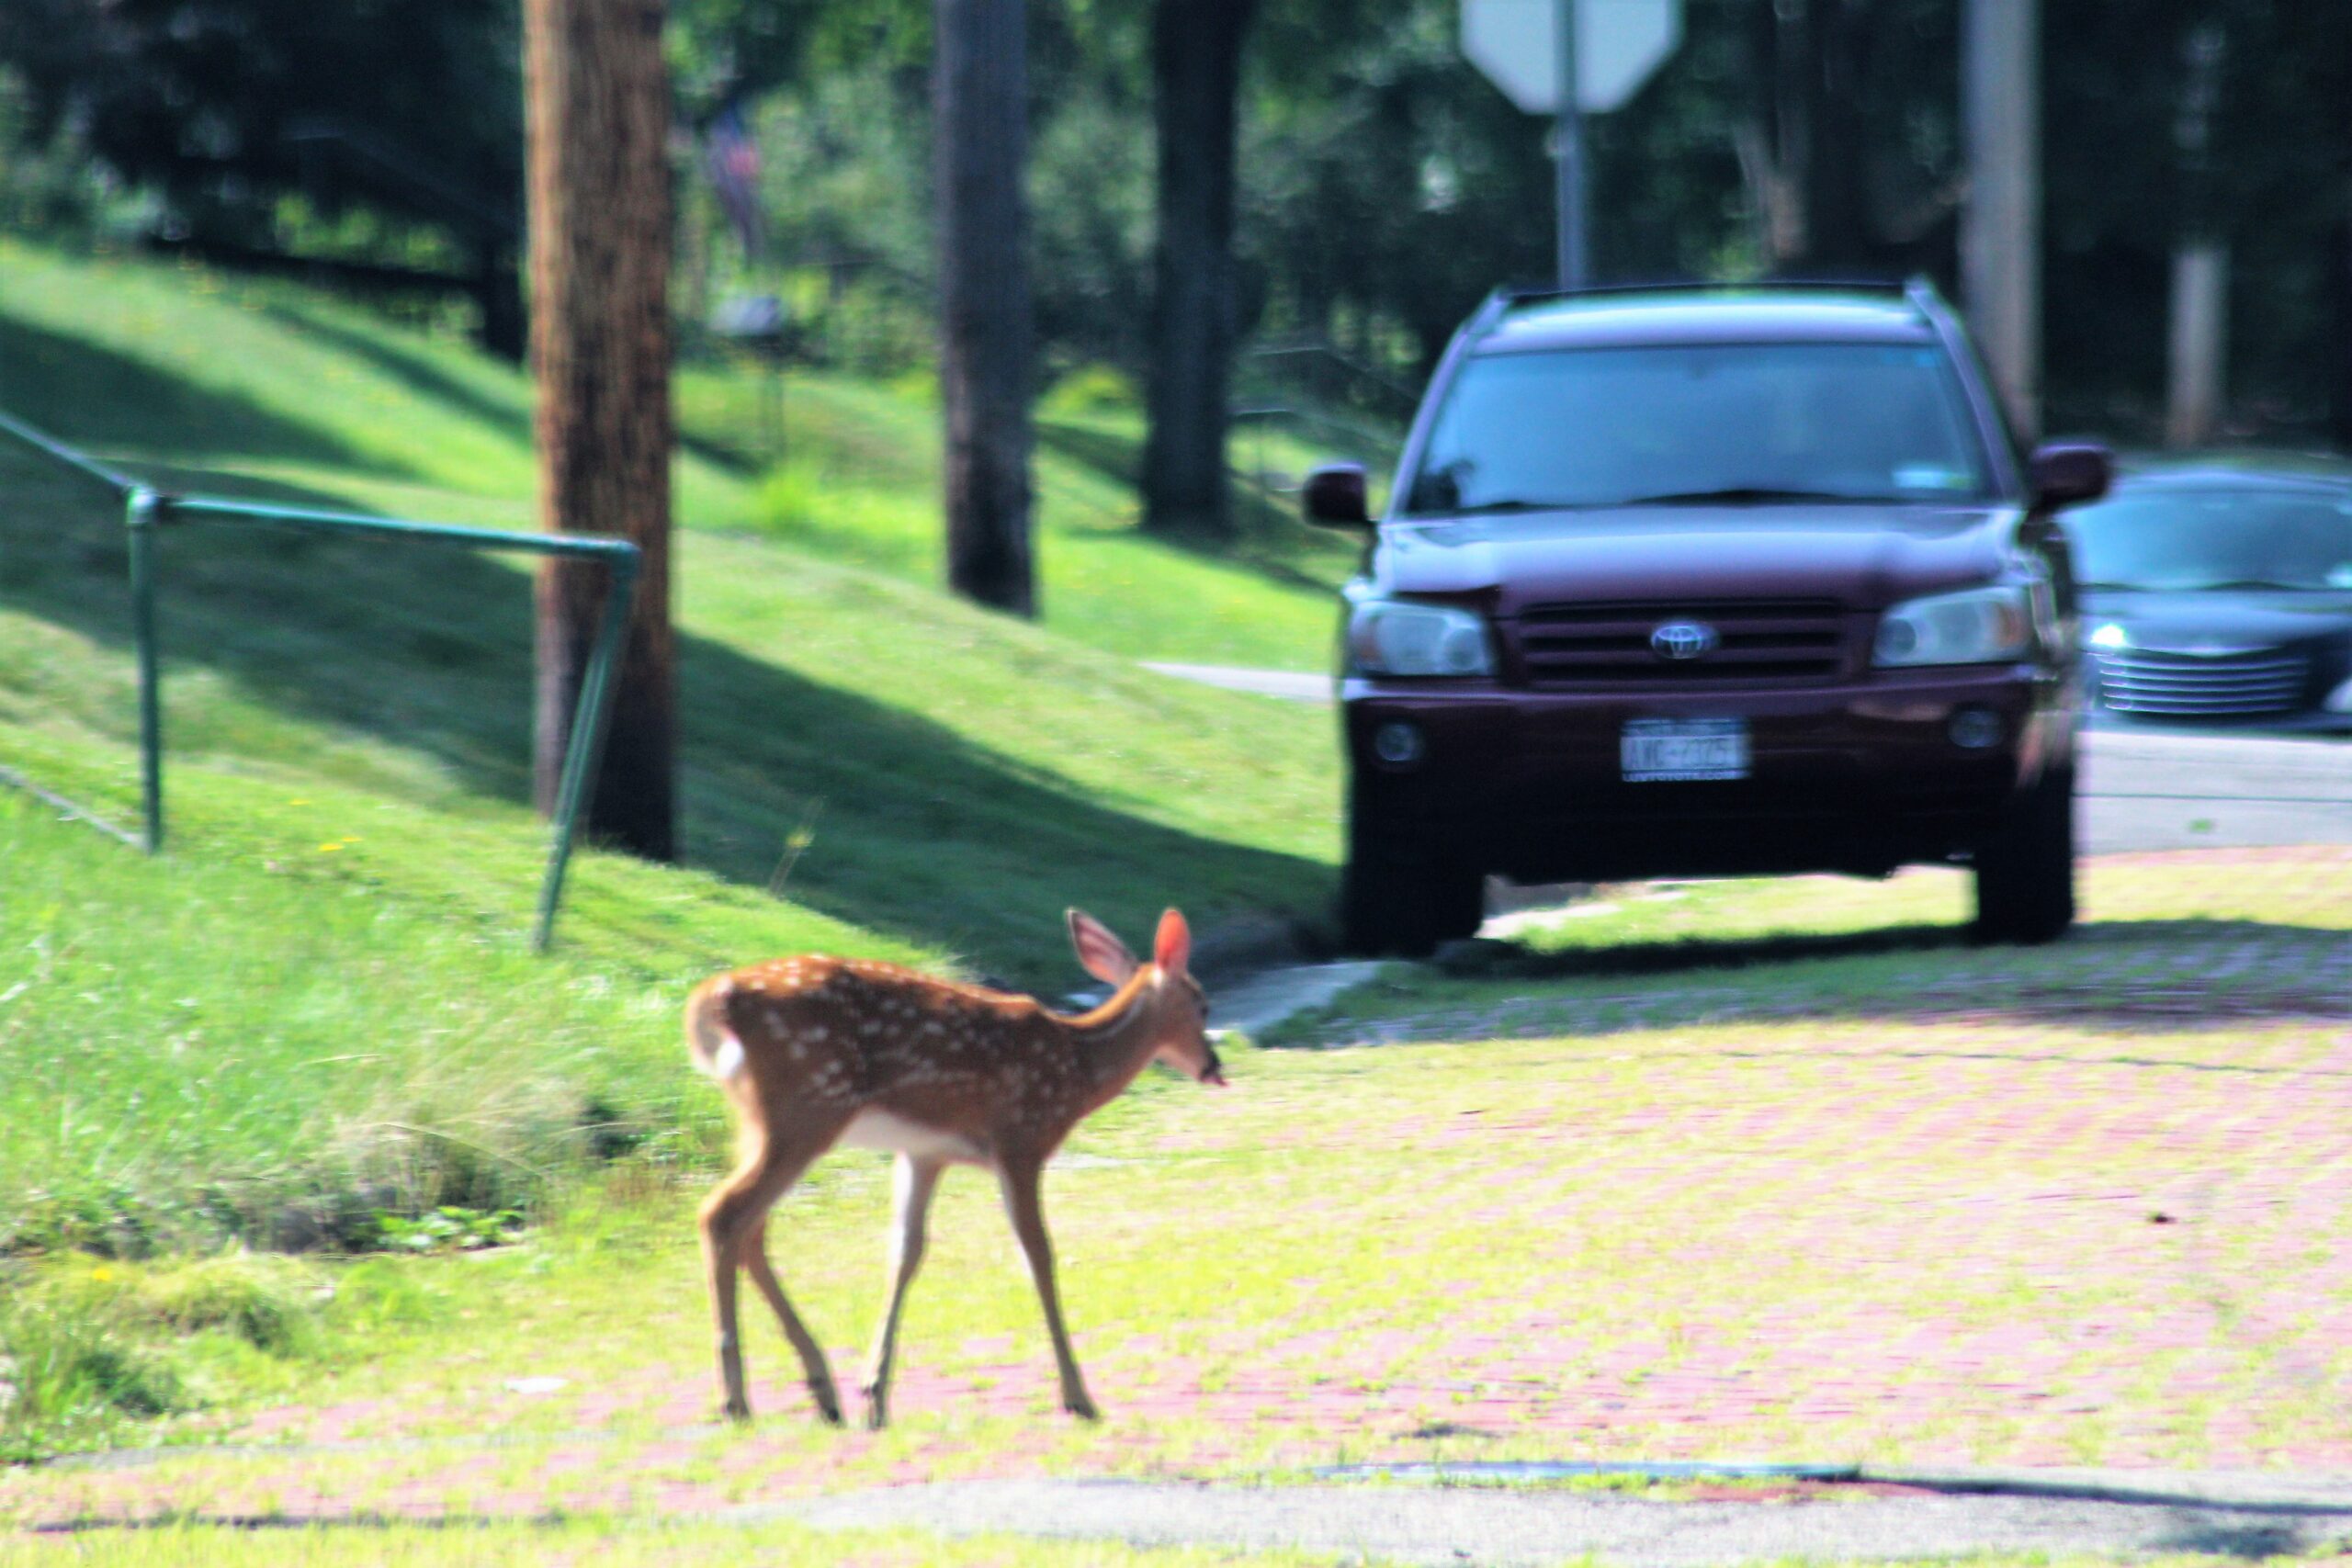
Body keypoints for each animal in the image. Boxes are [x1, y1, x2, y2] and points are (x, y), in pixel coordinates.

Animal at [685, 906, 1224, 1428]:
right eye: (1202, 1005)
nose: (1214, 1067)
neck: (1077, 1070)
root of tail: (715, 998)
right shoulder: (1021, 1140)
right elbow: (1039, 1256)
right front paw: (1079, 1398)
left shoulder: (925, 1153)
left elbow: (906, 1251)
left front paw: (875, 1393)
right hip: (808, 1107)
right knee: (723, 1214)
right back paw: (736, 1399)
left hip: (760, 1121)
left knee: (750, 1229)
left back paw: (822, 1392)